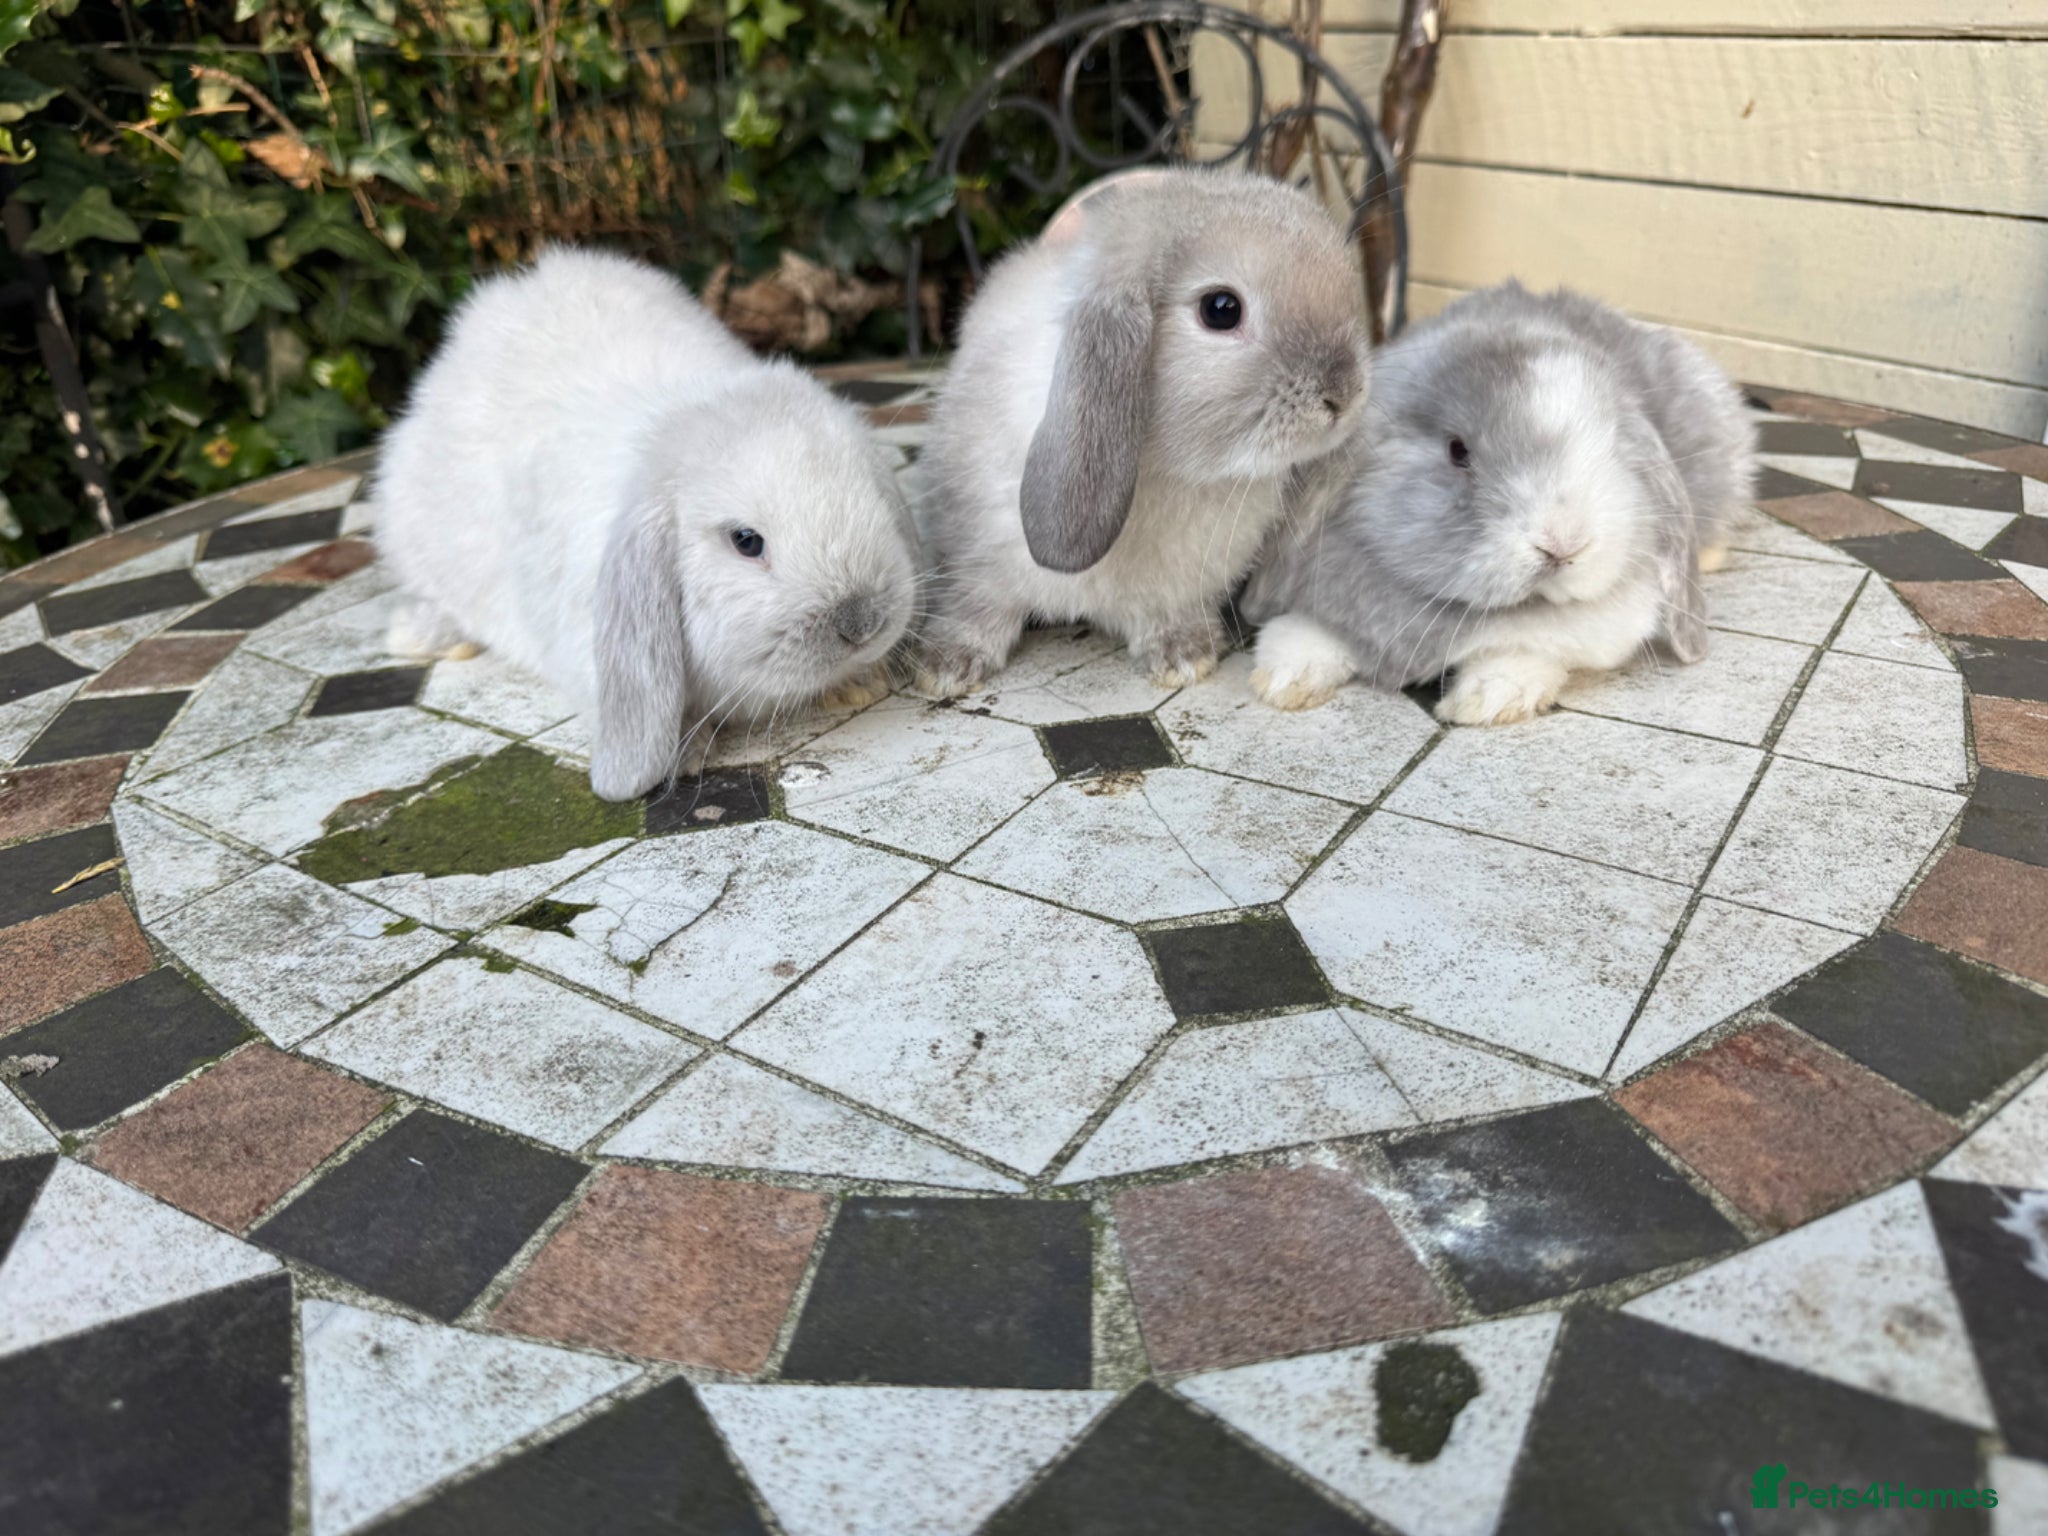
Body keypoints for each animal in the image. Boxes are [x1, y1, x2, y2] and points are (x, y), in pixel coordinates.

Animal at [375, 246, 920, 801]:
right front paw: (687, 751)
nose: (861, 622)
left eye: (872, 498)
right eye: (746, 541)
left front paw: (857, 685)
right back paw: (422, 637)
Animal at [914, 166, 1372, 695]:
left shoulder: (1178, 587)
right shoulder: (979, 560)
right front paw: (946, 667)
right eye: (1221, 309)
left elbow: (1167, 617)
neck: (1164, 471)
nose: (1345, 394)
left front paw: (1184, 657)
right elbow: (977, 608)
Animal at [1243, 280, 1755, 725]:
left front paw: (1485, 701)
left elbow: (1528, 652)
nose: (1563, 545)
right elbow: (1302, 632)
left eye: (1612, 448)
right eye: (1458, 451)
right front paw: (1284, 682)